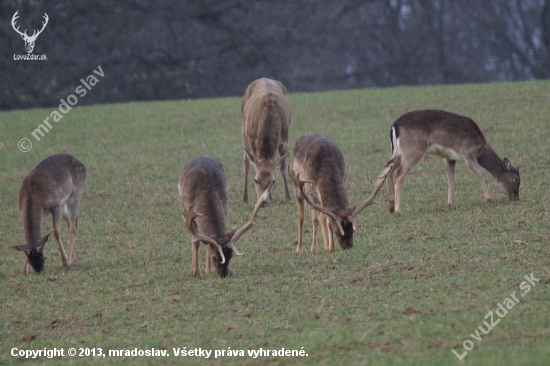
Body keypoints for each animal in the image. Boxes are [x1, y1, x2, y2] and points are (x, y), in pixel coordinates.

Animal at [243, 77, 294, 206]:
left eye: (273, 181)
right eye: (256, 180)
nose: (262, 202)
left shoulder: (284, 138)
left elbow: (282, 167)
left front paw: (288, 198)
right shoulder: (252, 138)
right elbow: (254, 161)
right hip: (244, 128)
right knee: (245, 160)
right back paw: (244, 197)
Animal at [388, 108, 520, 213]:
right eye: (516, 179)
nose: (516, 198)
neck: (481, 149)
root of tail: (394, 127)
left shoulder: (449, 158)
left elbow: (450, 176)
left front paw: (451, 204)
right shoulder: (467, 152)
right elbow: (478, 171)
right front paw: (490, 199)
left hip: (398, 153)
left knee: (389, 169)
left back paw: (391, 207)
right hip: (413, 151)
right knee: (398, 173)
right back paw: (398, 209)